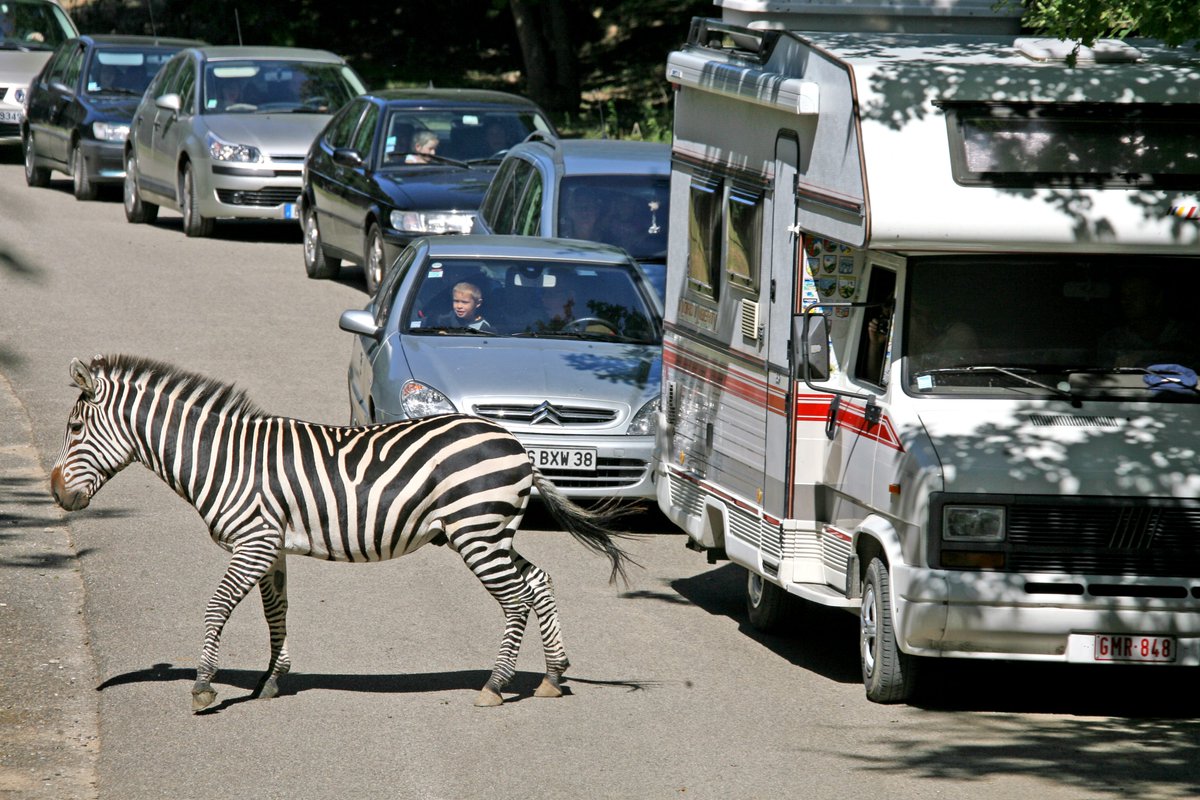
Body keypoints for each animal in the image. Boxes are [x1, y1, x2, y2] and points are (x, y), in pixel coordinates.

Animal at [49, 357, 638, 714]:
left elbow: (218, 606)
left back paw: (494, 687)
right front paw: (271, 681)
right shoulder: (272, 547)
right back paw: (553, 676)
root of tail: (516, 445)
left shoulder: (252, 542)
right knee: (539, 582)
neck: (223, 460)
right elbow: (276, 610)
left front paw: (202, 686)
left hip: (477, 531)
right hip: (492, 531)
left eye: (75, 429)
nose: (55, 492)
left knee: (516, 599)